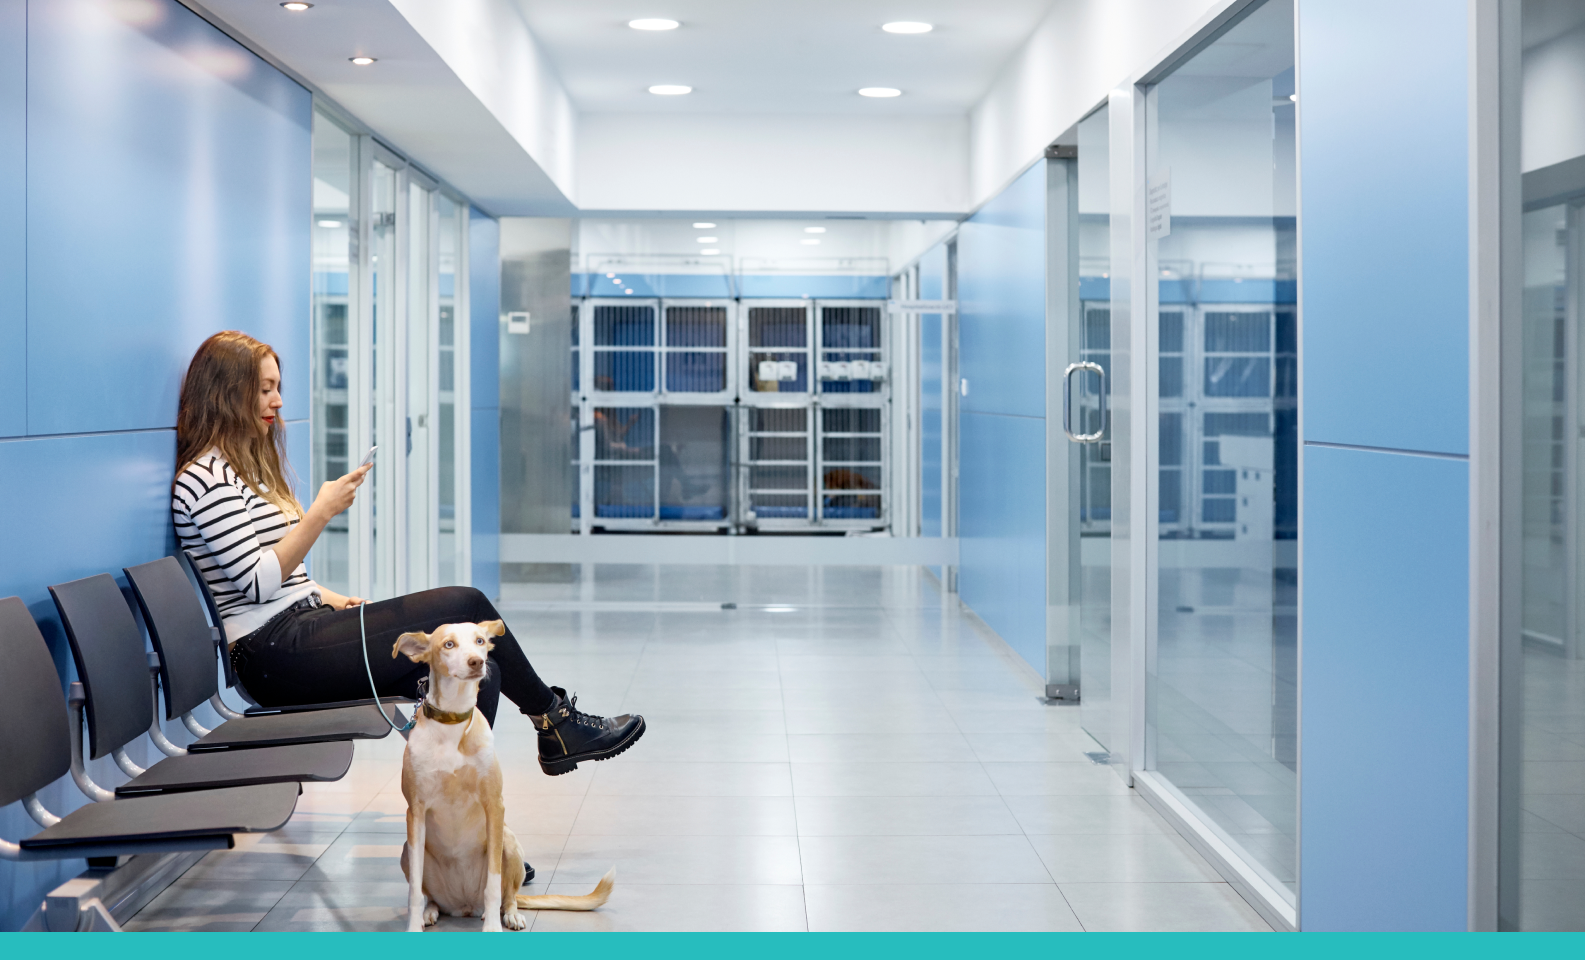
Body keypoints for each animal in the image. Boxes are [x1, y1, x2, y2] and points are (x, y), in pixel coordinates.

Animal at [394, 624, 611, 931]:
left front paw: (493, 929)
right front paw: (413, 927)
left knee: (508, 895)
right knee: (430, 896)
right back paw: (430, 911)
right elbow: (414, 889)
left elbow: (494, 885)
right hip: (407, 851)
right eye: (448, 644)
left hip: (508, 842)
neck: (453, 722)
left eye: (480, 641)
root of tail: (464, 906)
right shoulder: (415, 811)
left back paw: (507, 914)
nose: (477, 662)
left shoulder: (494, 806)